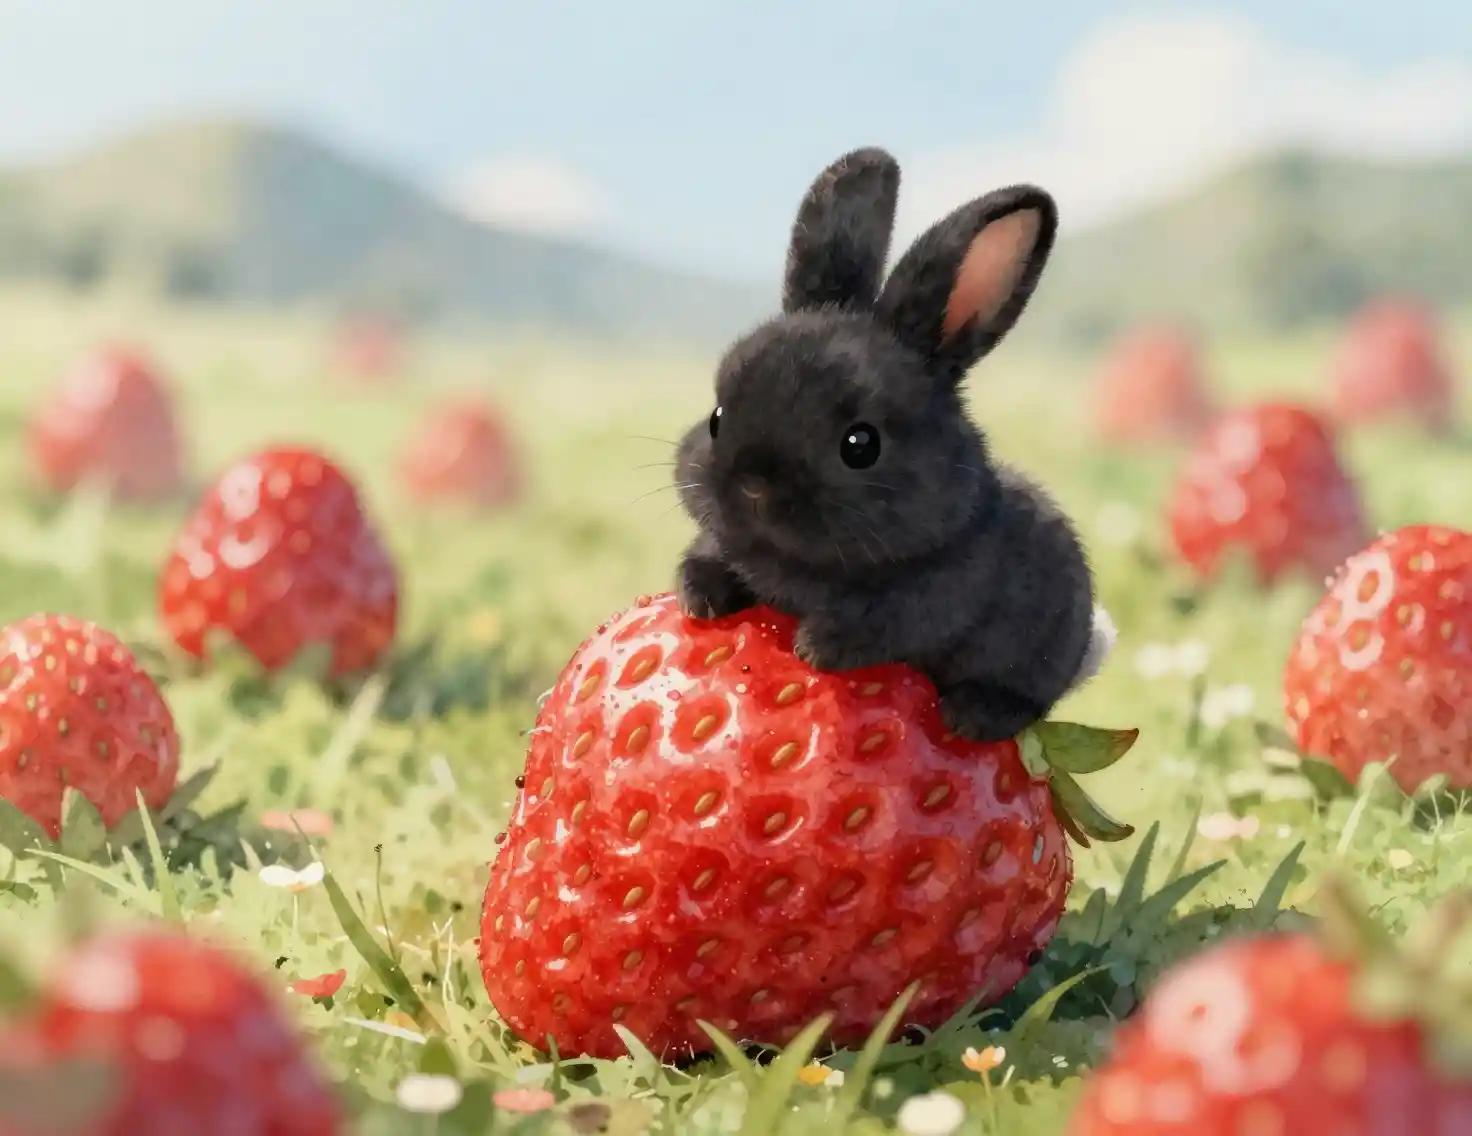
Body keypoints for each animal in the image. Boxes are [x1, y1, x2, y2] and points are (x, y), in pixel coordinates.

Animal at [673, 145, 1106, 743]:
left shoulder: (930, 599)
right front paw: (699, 598)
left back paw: (972, 715)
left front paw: (816, 646)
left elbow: (884, 624)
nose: (755, 486)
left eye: (860, 444)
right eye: (717, 417)